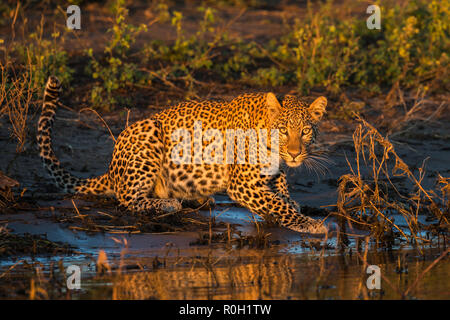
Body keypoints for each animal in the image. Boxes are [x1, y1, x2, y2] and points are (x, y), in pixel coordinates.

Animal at [37, 76, 328, 234]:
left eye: (304, 131)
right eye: (283, 131)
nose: (294, 154)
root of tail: (110, 171)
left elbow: (280, 187)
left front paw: (290, 199)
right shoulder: (242, 184)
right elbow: (276, 204)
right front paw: (311, 224)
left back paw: (198, 199)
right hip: (148, 132)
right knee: (127, 197)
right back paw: (168, 204)